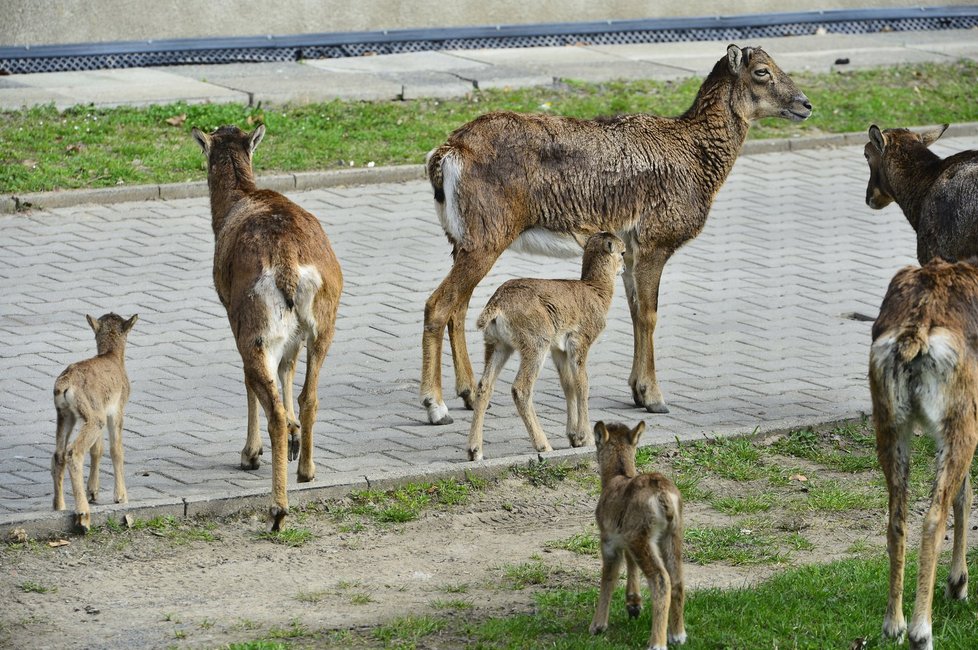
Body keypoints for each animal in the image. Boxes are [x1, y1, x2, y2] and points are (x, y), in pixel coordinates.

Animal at [52, 312, 136, 528]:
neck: (113, 357)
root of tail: (65, 384)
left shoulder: (102, 409)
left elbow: (97, 449)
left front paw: (93, 492)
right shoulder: (116, 410)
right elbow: (116, 449)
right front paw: (121, 497)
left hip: (66, 414)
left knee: (58, 454)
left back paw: (59, 506)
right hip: (93, 417)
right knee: (73, 452)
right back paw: (83, 515)